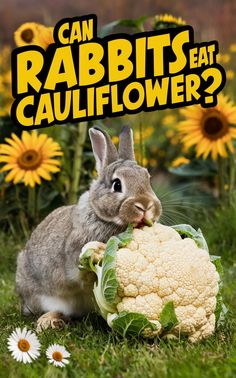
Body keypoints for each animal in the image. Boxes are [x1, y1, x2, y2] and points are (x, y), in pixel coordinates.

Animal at [15, 125, 162, 330]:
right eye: (117, 185)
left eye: (148, 180)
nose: (145, 206)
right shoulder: (73, 260)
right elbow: (82, 273)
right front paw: (96, 251)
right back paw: (49, 321)